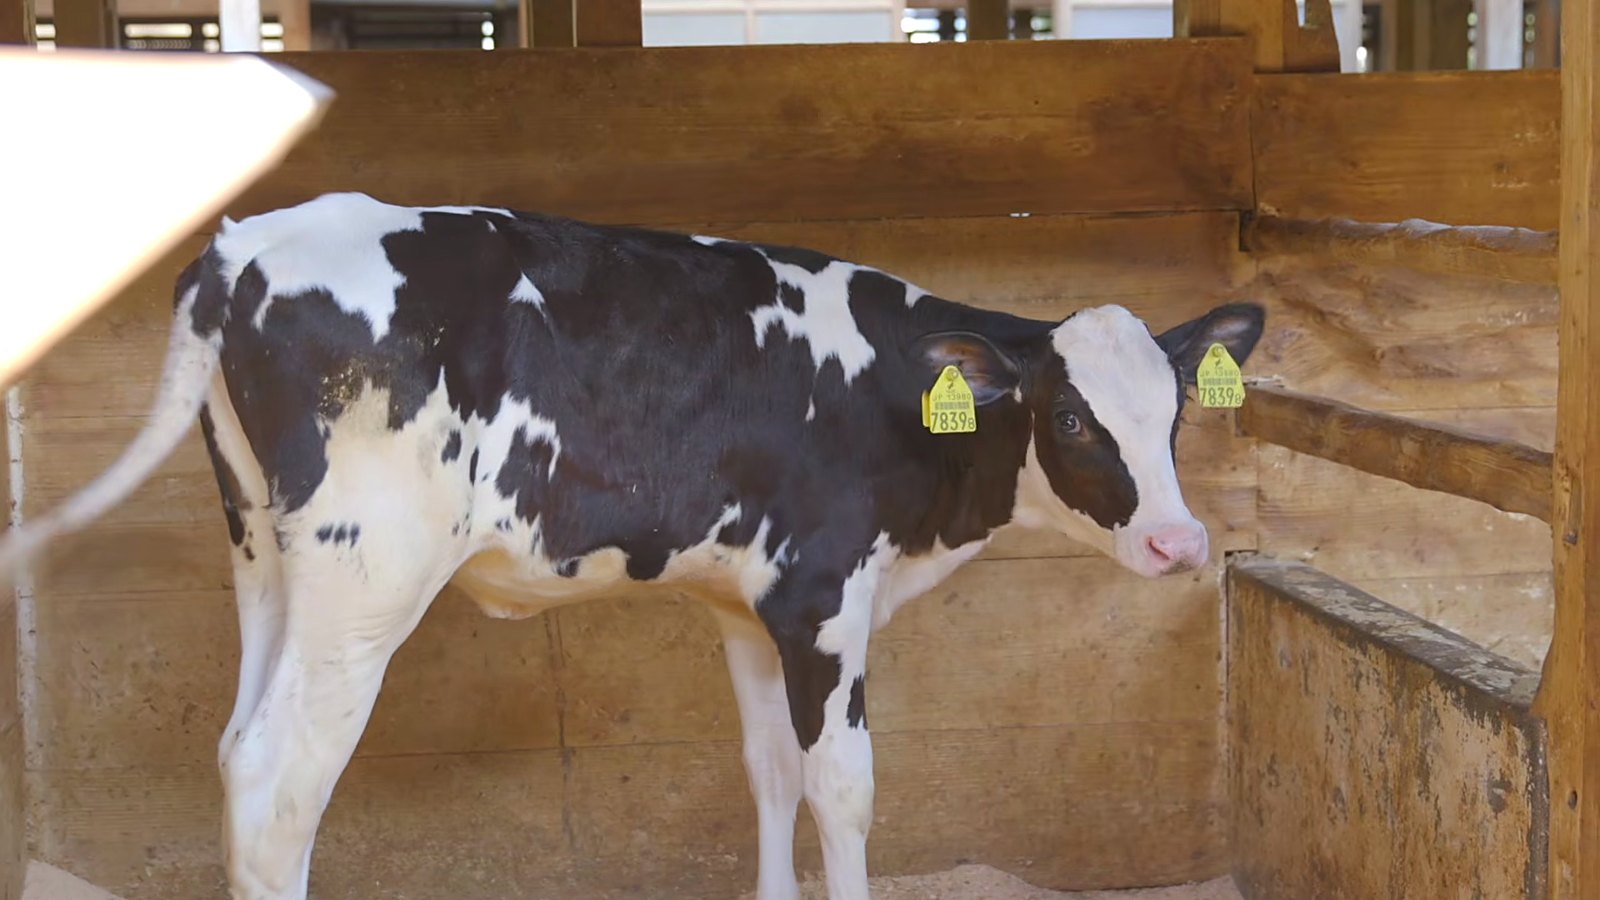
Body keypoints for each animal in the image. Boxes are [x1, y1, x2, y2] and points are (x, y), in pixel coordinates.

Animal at [0, 191, 1264, 900]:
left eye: (1175, 414)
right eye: (1069, 419)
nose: (1178, 541)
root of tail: (243, 243)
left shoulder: (747, 607)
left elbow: (770, 774)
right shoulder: (821, 599)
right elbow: (844, 787)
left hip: (265, 554)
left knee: (233, 752)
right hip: (367, 575)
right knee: (277, 783)